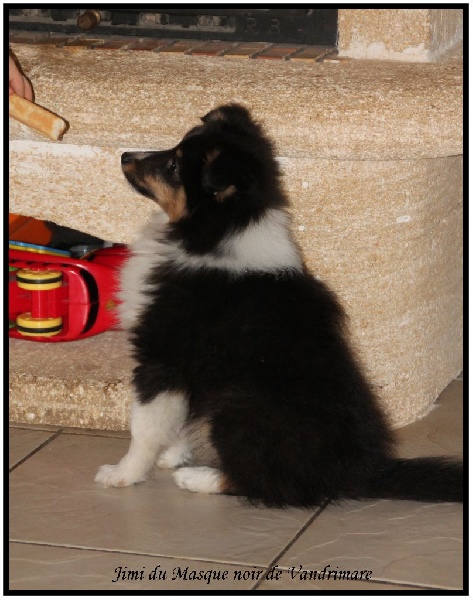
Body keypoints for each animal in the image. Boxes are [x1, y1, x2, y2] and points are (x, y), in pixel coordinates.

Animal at [95, 104, 462, 507]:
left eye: (175, 165)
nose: (124, 155)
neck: (218, 232)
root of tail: (357, 472)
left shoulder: (161, 356)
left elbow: (144, 427)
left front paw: (123, 473)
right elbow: (173, 421)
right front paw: (173, 454)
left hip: (235, 405)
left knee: (268, 483)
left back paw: (198, 478)